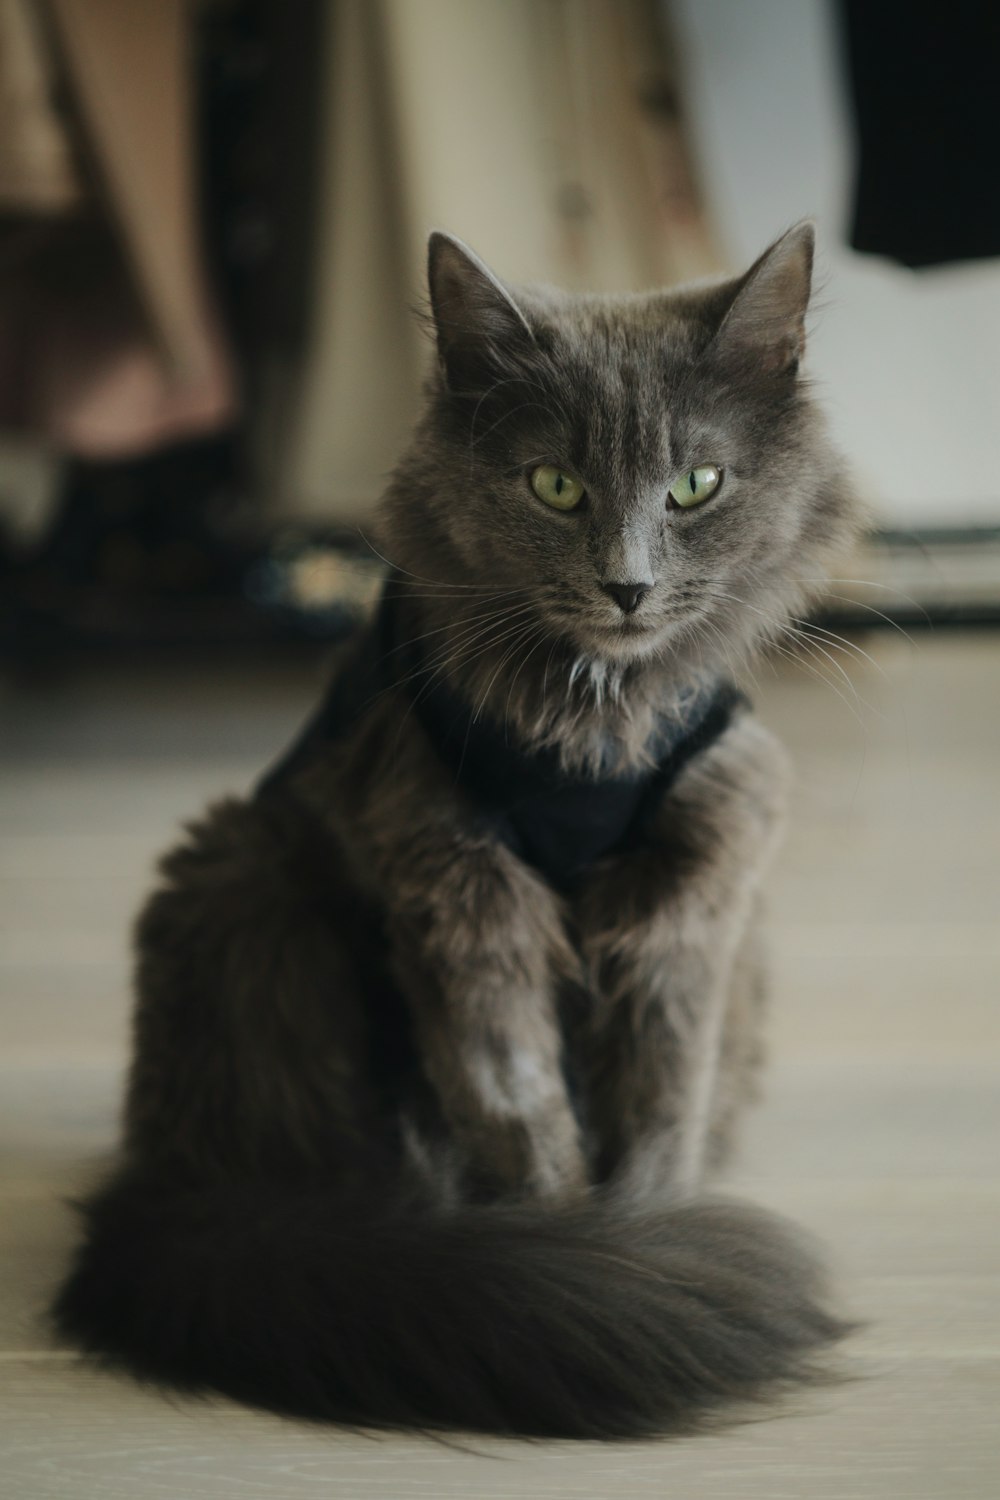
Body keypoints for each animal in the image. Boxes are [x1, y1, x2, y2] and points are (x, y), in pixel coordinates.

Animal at [54, 225, 857, 1440]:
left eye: (695, 485)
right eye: (555, 485)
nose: (627, 586)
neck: (592, 723)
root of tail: (162, 1191)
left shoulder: (698, 894)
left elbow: (661, 1106)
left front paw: (648, 1235)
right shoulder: (460, 898)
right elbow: (520, 1109)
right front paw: (589, 1260)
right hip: (255, 891)